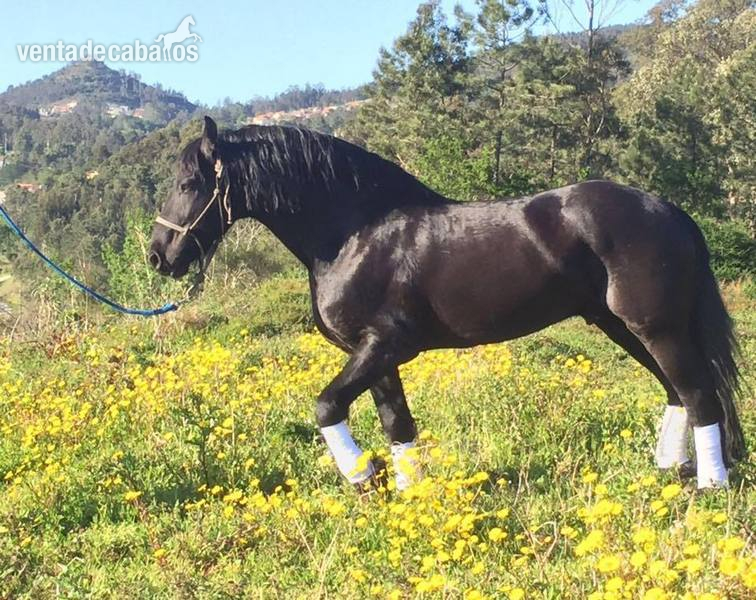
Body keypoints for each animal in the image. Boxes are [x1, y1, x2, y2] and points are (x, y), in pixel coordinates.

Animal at [149, 116, 746, 491]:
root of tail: (669, 211)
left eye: (189, 182)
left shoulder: (385, 345)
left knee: (699, 394)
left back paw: (709, 488)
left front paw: (363, 477)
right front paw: (409, 493)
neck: (355, 234)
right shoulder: (377, 355)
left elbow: (326, 406)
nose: (158, 257)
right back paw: (670, 470)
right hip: (624, 325)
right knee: (678, 391)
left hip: (655, 326)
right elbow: (397, 423)